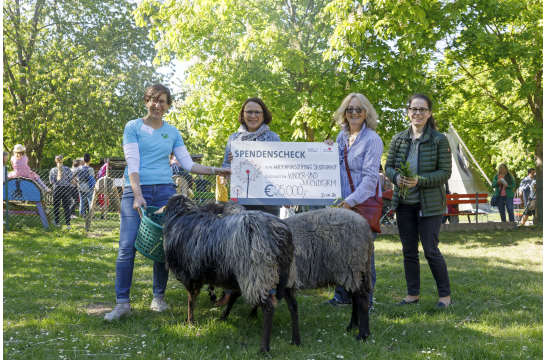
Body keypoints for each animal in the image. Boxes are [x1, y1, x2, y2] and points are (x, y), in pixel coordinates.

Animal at [162, 195, 300, 352]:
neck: (182, 218)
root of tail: (282, 234)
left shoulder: (189, 275)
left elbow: (191, 300)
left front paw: (190, 321)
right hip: (285, 277)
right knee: (293, 304)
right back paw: (296, 340)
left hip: (256, 274)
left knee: (269, 308)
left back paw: (264, 348)